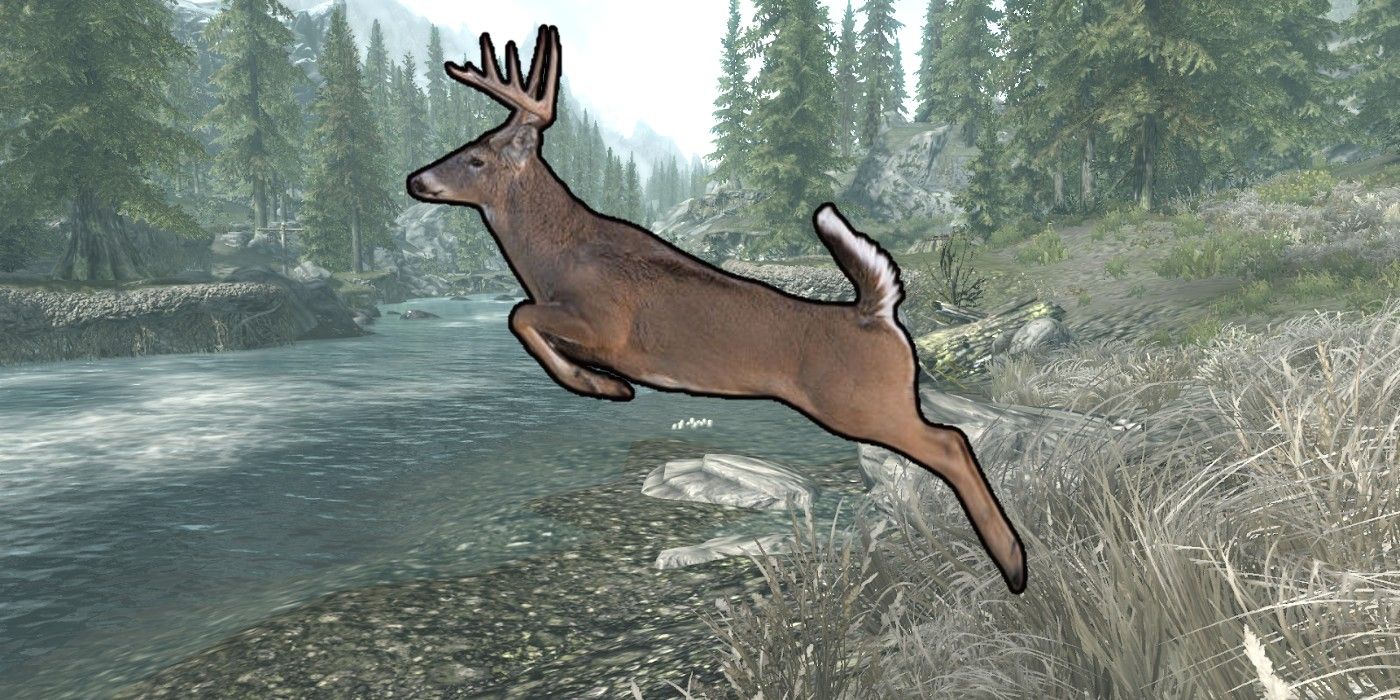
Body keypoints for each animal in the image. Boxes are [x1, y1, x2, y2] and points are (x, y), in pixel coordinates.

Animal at [406, 25, 1027, 594]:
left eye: (476, 158)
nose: (416, 178)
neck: (558, 257)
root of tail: (876, 313)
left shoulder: (606, 326)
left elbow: (520, 315)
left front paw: (602, 385)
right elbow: (523, 316)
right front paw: (602, 385)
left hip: (861, 402)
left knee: (953, 442)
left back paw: (1014, 564)